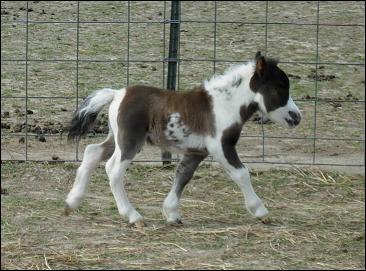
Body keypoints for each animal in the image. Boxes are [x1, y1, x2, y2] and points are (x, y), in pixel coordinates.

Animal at [65, 52, 300, 227]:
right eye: (280, 87)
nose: (296, 117)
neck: (225, 104)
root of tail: (116, 94)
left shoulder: (196, 151)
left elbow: (183, 175)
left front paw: (172, 213)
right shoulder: (221, 146)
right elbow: (241, 173)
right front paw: (261, 211)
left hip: (116, 137)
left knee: (92, 152)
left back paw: (71, 202)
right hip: (130, 141)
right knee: (113, 169)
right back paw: (133, 216)